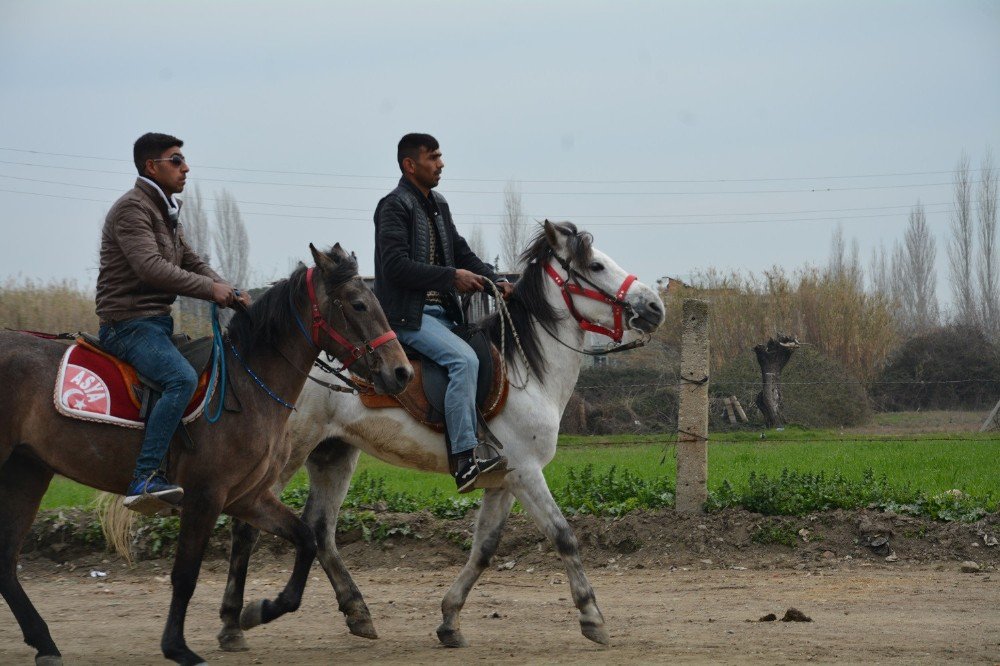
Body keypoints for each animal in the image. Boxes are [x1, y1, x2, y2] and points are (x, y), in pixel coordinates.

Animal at [0, 244, 412, 664]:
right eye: (359, 304)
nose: (402, 372)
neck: (244, 386)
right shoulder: (205, 496)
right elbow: (185, 574)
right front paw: (178, 646)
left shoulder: (247, 497)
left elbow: (306, 540)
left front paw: (257, 610)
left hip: (27, 472)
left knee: (5, 564)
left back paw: (45, 642)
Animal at [221, 222, 664, 648]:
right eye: (596, 266)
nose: (655, 306)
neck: (526, 372)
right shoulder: (526, 473)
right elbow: (563, 536)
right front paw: (592, 617)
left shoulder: (503, 480)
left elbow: (484, 549)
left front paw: (450, 619)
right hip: (289, 454)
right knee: (247, 527)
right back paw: (235, 623)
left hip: (334, 453)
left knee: (320, 529)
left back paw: (358, 612)